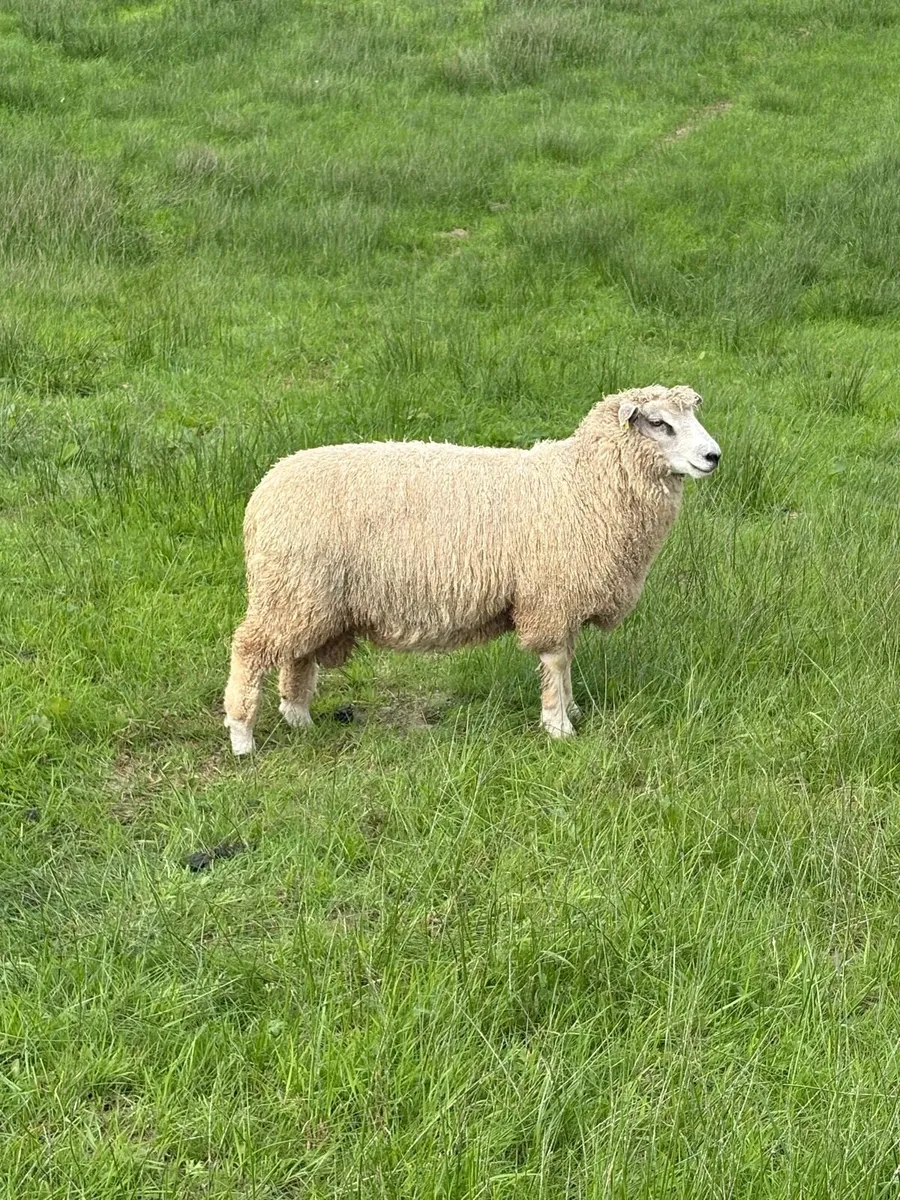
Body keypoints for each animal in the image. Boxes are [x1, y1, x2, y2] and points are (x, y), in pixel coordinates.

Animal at [223, 385, 721, 753]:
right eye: (659, 423)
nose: (713, 456)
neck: (583, 484)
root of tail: (264, 491)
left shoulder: (564, 597)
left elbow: (567, 656)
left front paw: (571, 709)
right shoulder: (550, 594)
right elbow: (556, 659)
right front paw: (558, 726)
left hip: (309, 596)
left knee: (297, 654)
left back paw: (298, 717)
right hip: (293, 587)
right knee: (250, 650)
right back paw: (242, 736)